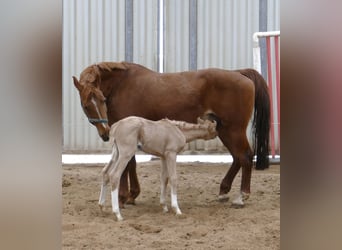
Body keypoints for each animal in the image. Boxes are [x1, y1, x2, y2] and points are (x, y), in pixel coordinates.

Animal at [73, 61, 270, 206]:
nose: (105, 134)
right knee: (237, 158)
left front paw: (125, 196)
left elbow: (128, 164)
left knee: (245, 156)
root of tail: (239, 73)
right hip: (224, 130)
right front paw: (131, 194)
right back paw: (223, 191)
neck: (122, 86)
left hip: (233, 129)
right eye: (86, 105)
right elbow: (131, 164)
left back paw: (242, 195)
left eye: (101, 99)